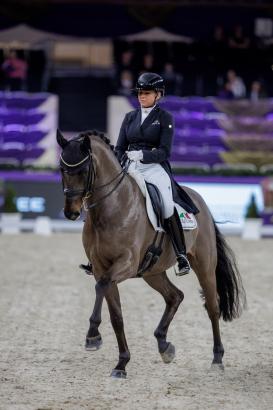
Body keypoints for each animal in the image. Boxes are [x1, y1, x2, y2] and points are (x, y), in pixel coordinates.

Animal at [56, 130, 245, 380]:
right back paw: (164, 346)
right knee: (175, 296)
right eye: (61, 168)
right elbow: (116, 315)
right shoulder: (100, 267)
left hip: (203, 264)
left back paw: (217, 359)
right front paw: (121, 363)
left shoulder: (125, 264)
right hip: (152, 272)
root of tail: (199, 200)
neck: (111, 208)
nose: (71, 212)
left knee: (212, 306)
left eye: (84, 170)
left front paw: (93, 336)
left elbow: (101, 287)